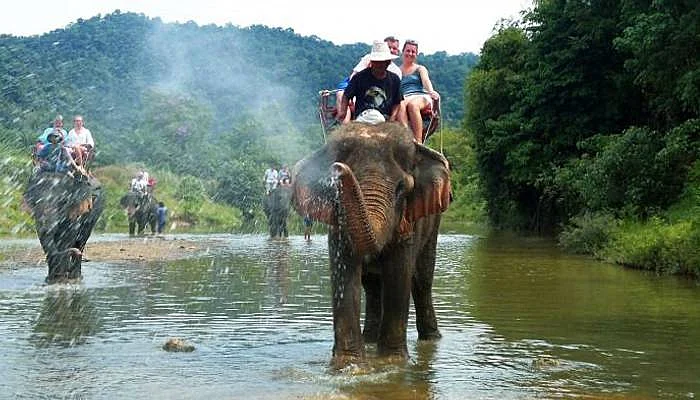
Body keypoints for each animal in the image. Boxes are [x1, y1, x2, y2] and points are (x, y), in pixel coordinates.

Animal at [291, 122, 451, 368]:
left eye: (401, 188)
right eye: (334, 188)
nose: (338, 168)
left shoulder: (409, 223)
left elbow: (399, 273)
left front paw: (392, 363)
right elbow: (346, 274)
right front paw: (349, 366)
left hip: (434, 224)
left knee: (422, 280)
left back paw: (431, 339)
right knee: (373, 286)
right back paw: (369, 340)